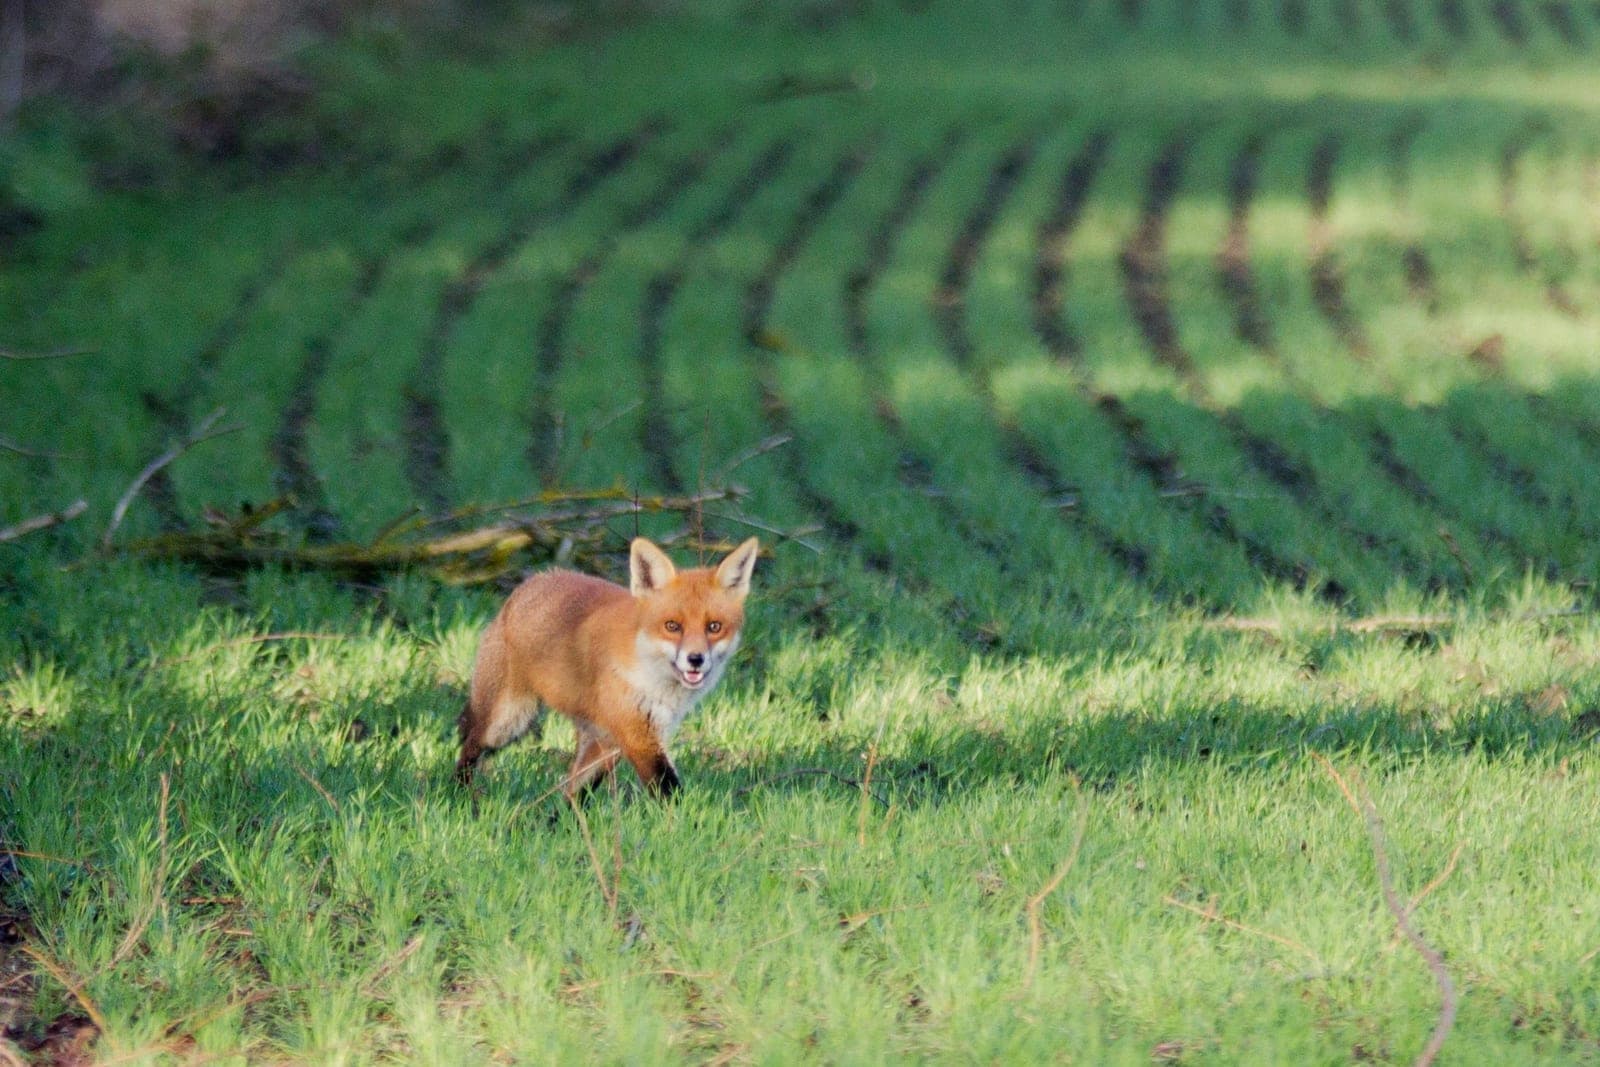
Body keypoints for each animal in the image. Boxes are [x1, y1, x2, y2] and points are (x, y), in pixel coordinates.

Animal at [455, 536, 760, 800]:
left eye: (714, 627)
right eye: (672, 626)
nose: (695, 659)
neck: (654, 678)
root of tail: (526, 586)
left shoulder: (637, 733)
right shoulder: (637, 736)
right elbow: (669, 792)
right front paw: (687, 826)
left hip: (599, 743)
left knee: (571, 795)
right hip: (506, 723)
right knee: (468, 748)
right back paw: (463, 798)